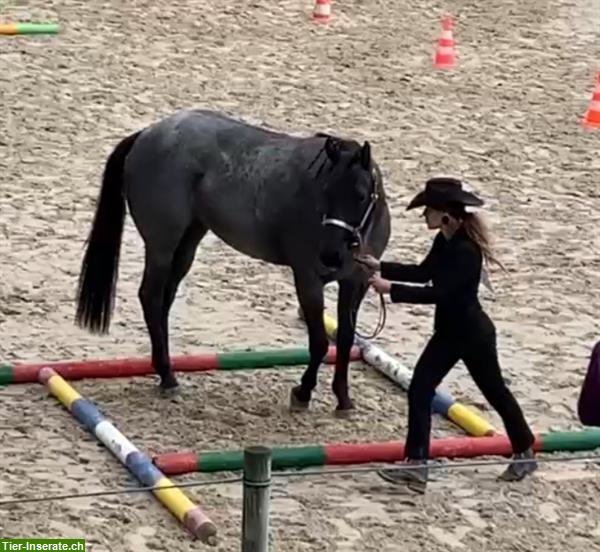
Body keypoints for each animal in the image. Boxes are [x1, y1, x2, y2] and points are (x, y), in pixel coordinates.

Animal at [75, 108, 392, 412]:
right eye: (325, 192)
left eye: (361, 195)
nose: (330, 255)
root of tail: (147, 133)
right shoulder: (308, 280)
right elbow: (319, 343)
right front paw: (302, 393)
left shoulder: (356, 284)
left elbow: (346, 339)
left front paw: (343, 399)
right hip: (161, 246)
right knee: (150, 297)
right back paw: (168, 377)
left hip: (187, 245)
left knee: (164, 300)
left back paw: (163, 369)